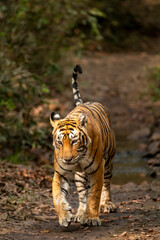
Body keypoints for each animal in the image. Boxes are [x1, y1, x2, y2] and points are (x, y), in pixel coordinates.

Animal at [50, 64, 116, 228]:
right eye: (60, 142)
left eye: (74, 141)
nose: (67, 159)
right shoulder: (60, 172)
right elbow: (57, 195)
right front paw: (64, 216)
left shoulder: (98, 169)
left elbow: (94, 194)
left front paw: (91, 218)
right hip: (79, 176)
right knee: (82, 195)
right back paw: (79, 213)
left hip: (108, 162)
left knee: (106, 184)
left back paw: (107, 204)